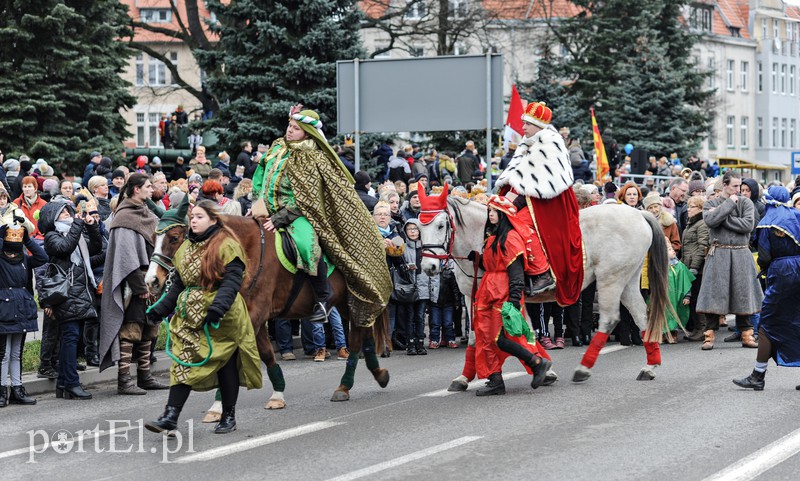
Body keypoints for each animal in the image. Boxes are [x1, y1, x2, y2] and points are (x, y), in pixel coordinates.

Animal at [145, 214, 394, 416]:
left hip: (352, 298)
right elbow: (264, 353)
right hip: (348, 302)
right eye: (153, 237)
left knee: (356, 338)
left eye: (174, 238)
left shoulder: (255, 315)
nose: (152, 281)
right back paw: (379, 374)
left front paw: (219, 404)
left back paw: (344, 386)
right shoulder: (250, 318)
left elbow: (231, 356)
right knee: (365, 333)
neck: (246, 251)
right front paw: (277, 394)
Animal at [416, 193, 672, 384]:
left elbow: (516, 332)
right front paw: (464, 377)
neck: (485, 239)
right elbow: (479, 335)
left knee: (609, 319)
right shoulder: (473, 297)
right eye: (418, 226)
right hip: (627, 279)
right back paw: (650, 366)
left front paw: (541, 368)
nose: (428, 266)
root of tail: (638, 213)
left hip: (611, 279)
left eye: (441, 225)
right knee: (641, 315)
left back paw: (583, 368)